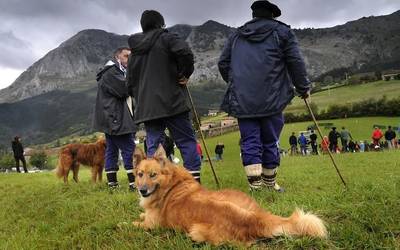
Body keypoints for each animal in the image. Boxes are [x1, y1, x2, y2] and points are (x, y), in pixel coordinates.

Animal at [133, 146, 326, 245]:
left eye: (153, 175)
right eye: (140, 174)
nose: (142, 190)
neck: (171, 184)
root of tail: (253, 219)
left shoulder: (152, 225)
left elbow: (134, 223)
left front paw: (130, 222)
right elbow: (142, 214)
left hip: (195, 232)